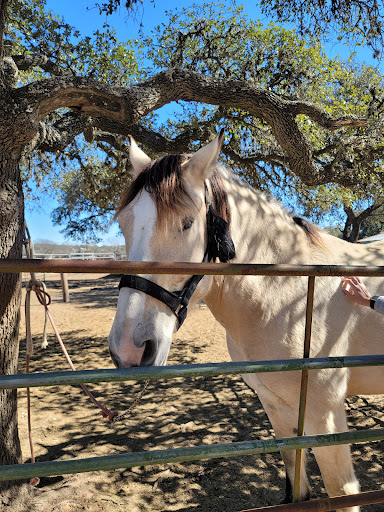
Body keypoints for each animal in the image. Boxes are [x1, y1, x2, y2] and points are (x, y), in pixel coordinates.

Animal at [108, 130, 384, 510]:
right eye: (124, 224)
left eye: (186, 223)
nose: (129, 349)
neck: (287, 294)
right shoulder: (276, 407)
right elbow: (297, 488)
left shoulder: (324, 414)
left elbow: (341, 493)